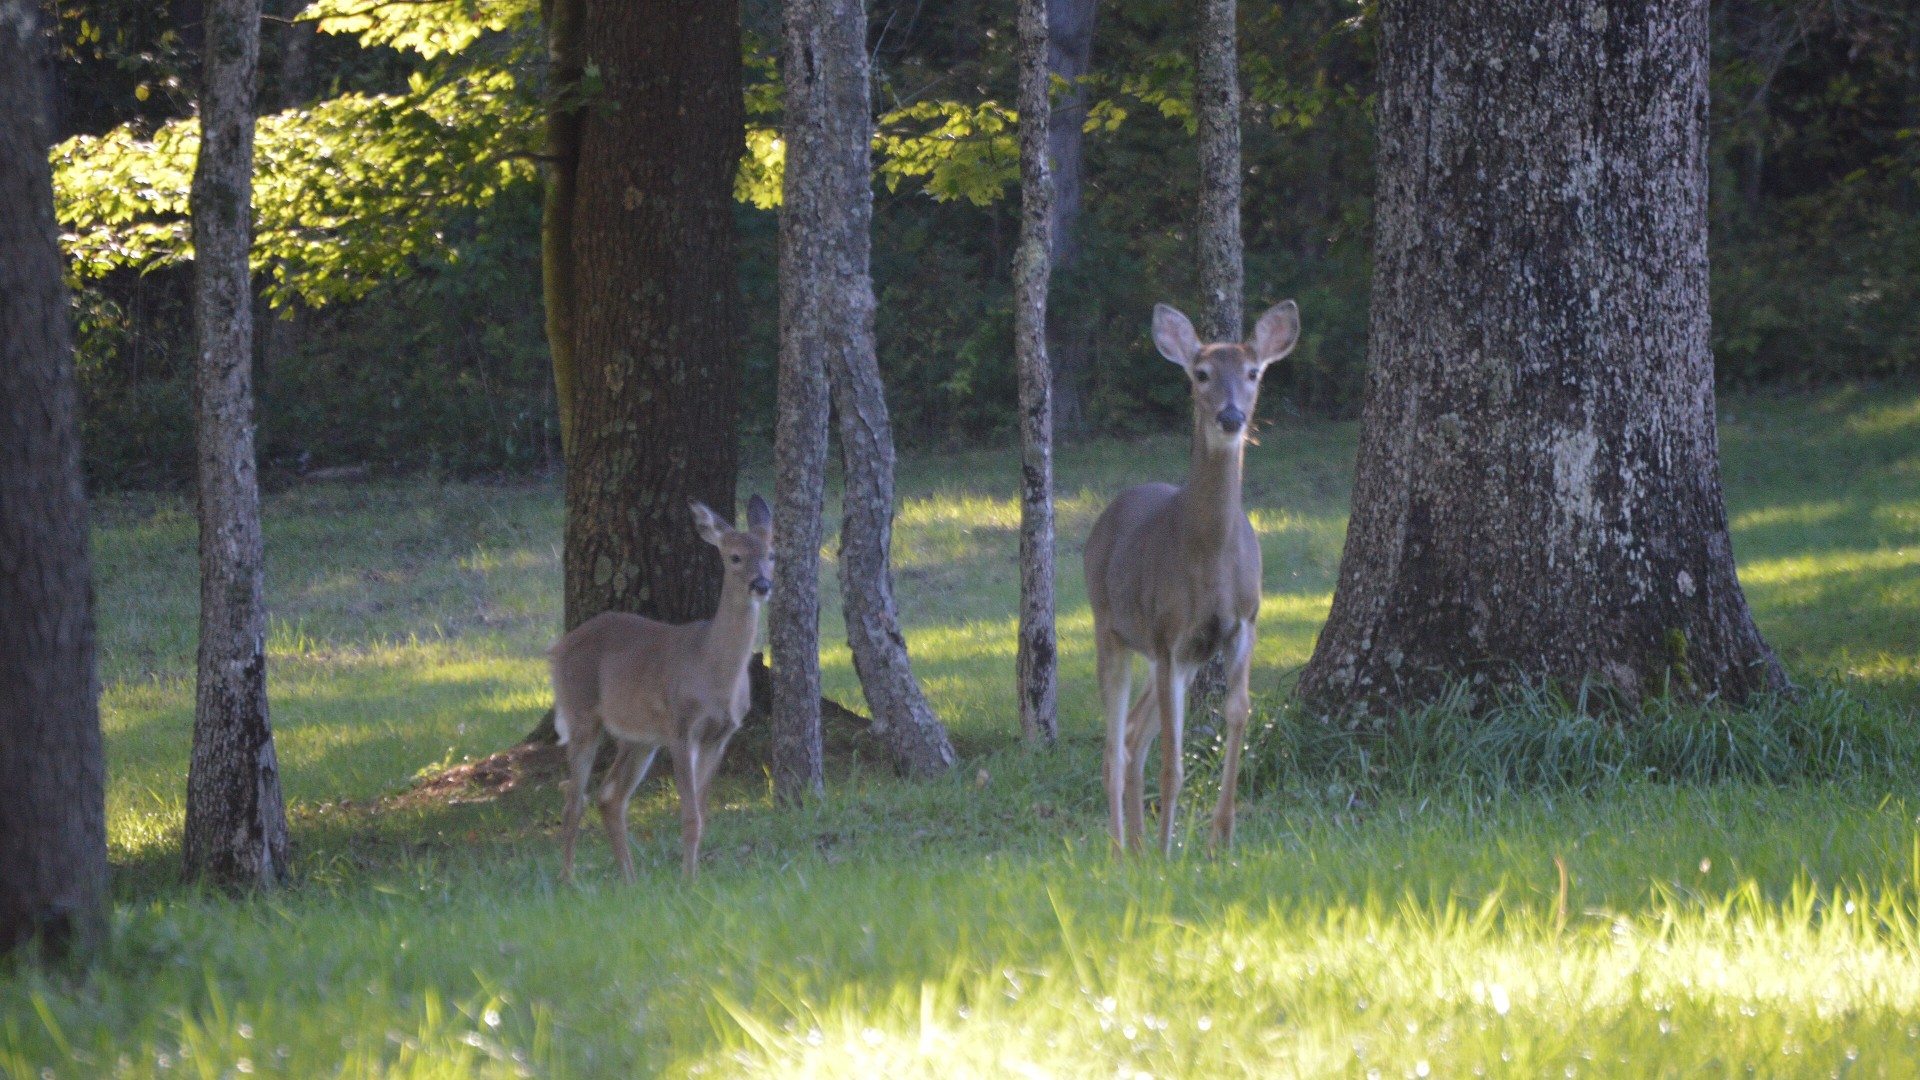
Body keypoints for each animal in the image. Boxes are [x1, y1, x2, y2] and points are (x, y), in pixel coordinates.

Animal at [548, 495, 773, 881]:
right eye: (734, 557)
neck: (713, 670)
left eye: (772, 553)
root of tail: (556, 649)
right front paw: (688, 881)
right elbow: (690, 815)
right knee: (574, 800)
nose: (761, 585)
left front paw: (693, 876)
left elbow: (702, 813)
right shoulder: (681, 728)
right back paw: (569, 880)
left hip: (640, 738)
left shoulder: (721, 735)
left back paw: (630, 879)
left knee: (609, 796)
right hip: (581, 715)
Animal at [1083, 300, 1300, 855]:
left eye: (1253, 372)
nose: (1231, 416)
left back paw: (1137, 850)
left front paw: (1219, 837)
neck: (1209, 559)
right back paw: (1121, 851)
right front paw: (1167, 852)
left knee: (1133, 733)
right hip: (1110, 628)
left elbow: (1238, 713)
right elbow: (1173, 764)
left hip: (1184, 660)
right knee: (1113, 746)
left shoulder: (1242, 624)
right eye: (1201, 374)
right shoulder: (1166, 636)